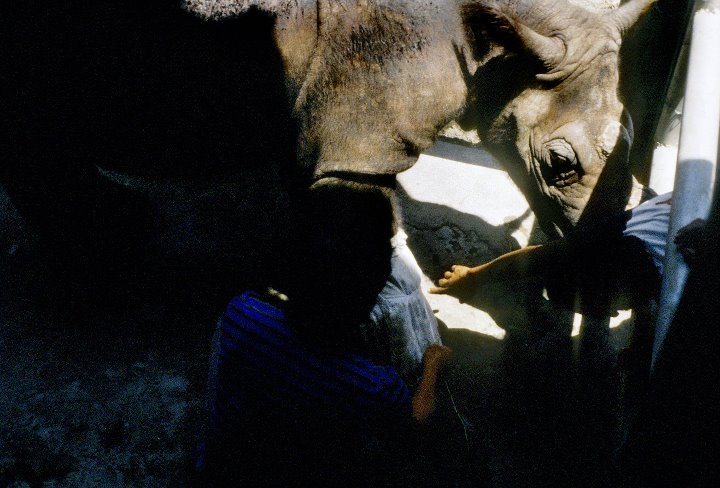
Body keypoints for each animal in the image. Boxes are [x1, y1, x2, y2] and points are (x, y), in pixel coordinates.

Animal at [0, 0, 654, 293]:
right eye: (559, 164)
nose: (606, 263)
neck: (506, 46)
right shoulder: (360, 144)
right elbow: (351, 231)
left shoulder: (325, 126)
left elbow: (309, 195)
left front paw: (290, 280)